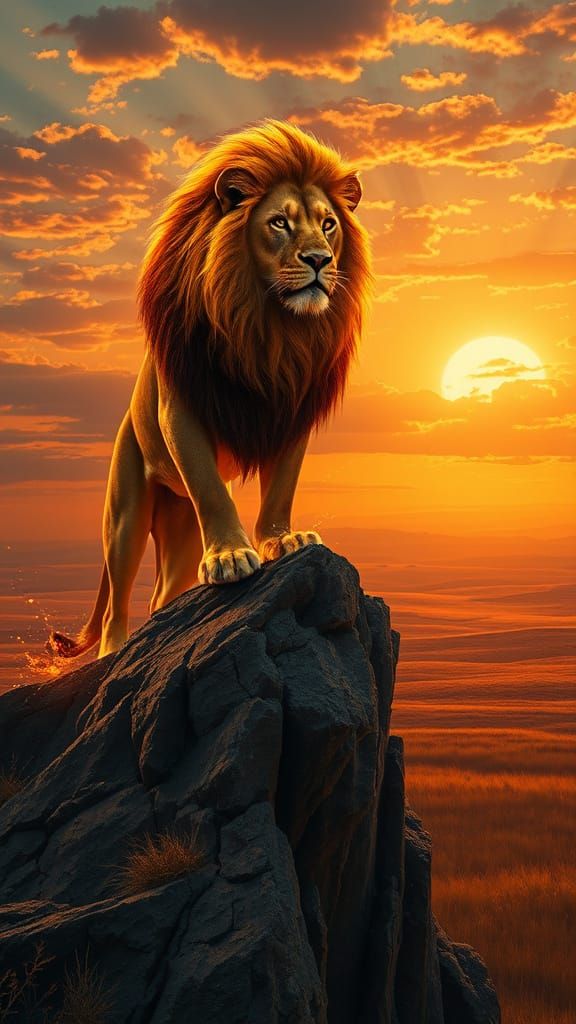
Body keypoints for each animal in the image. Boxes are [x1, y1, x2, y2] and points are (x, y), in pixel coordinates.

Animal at [49, 119, 372, 659]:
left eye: (329, 224)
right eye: (279, 223)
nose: (320, 260)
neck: (269, 328)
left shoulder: (292, 410)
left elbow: (280, 487)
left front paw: (282, 539)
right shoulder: (180, 409)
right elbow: (211, 486)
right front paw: (230, 555)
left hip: (179, 529)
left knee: (161, 596)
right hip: (126, 512)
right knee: (117, 599)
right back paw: (114, 652)